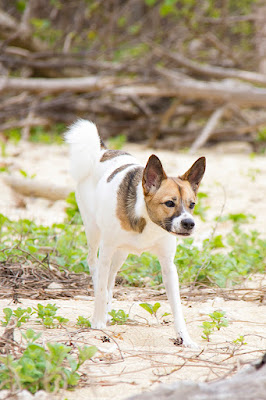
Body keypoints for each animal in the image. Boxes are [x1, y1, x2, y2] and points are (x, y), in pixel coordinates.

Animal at [65, 119, 207, 346]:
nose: (189, 223)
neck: (147, 221)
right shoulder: (106, 251)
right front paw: (97, 322)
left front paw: (184, 338)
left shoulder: (168, 267)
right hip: (94, 233)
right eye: (169, 203)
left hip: (121, 253)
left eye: (192, 204)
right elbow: (100, 287)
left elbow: (177, 307)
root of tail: (103, 151)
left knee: (111, 278)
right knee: (95, 267)